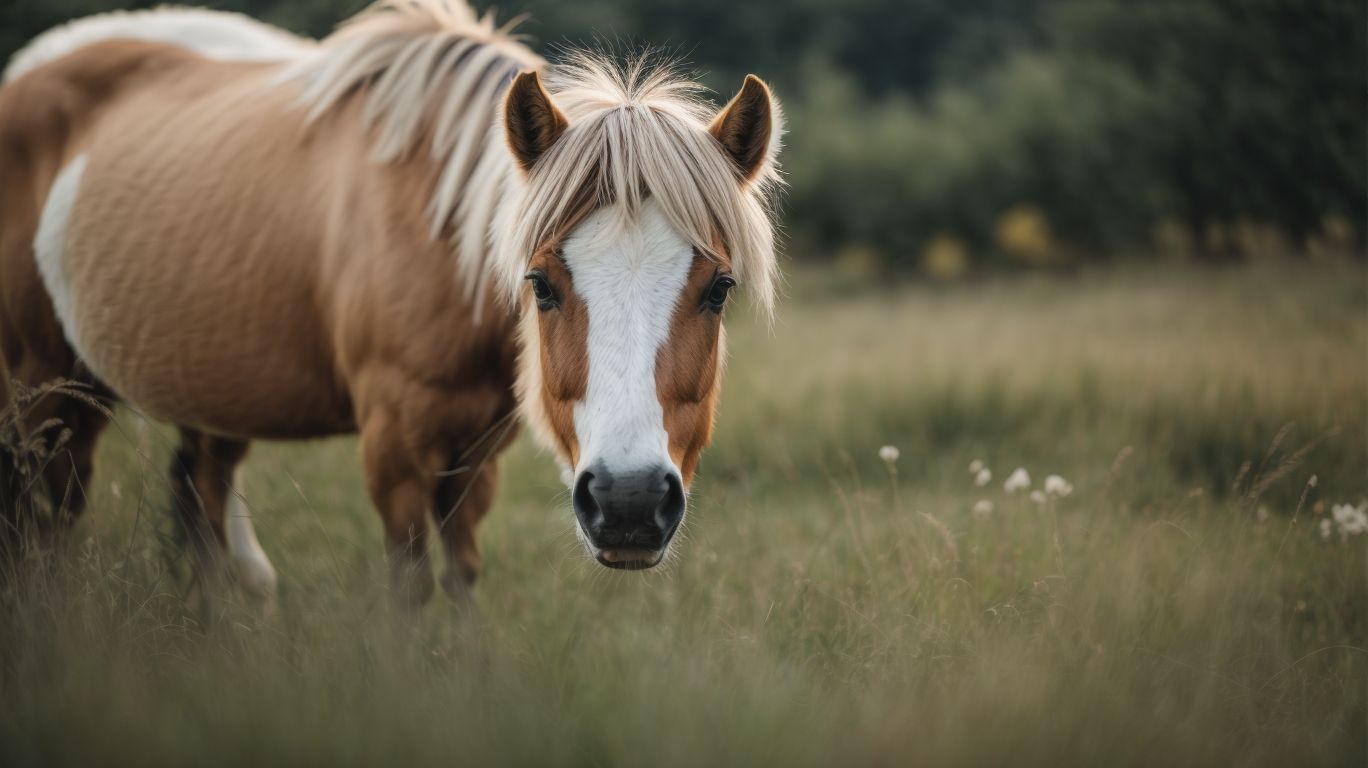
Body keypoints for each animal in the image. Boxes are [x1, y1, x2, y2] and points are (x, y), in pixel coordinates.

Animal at [0, 0, 782, 607]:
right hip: (46, 389)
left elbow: (462, 578)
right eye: (540, 284)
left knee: (200, 500)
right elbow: (410, 587)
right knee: (50, 517)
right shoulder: (395, 450)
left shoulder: (476, 456)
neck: (439, 231)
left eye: (718, 288)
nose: (629, 502)